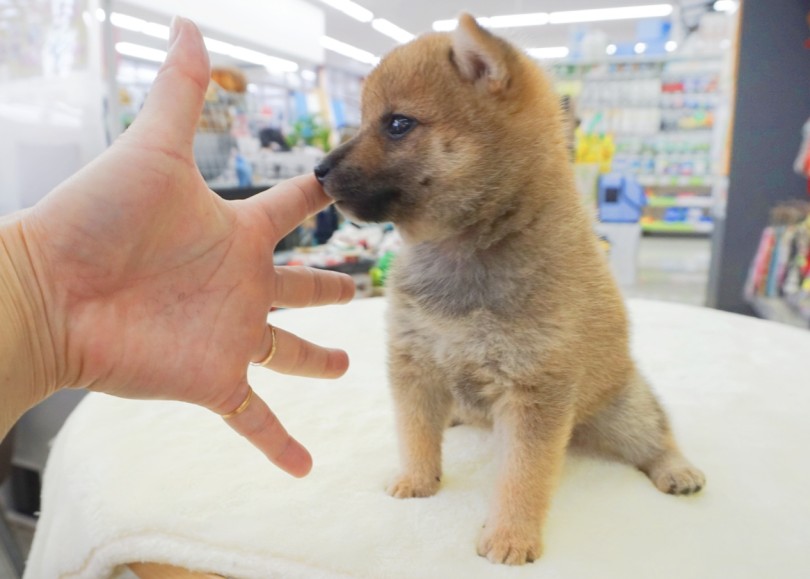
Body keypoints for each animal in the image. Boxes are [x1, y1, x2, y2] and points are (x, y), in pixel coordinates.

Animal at [312, 12, 704, 568]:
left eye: (397, 124)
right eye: (362, 120)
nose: (318, 171)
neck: (466, 247)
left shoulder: (534, 391)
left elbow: (524, 475)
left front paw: (511, 535)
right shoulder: (416, 363)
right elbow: (415, 433)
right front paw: (417, 480)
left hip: (625, 412)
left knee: (655, 437)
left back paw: (676, 468)